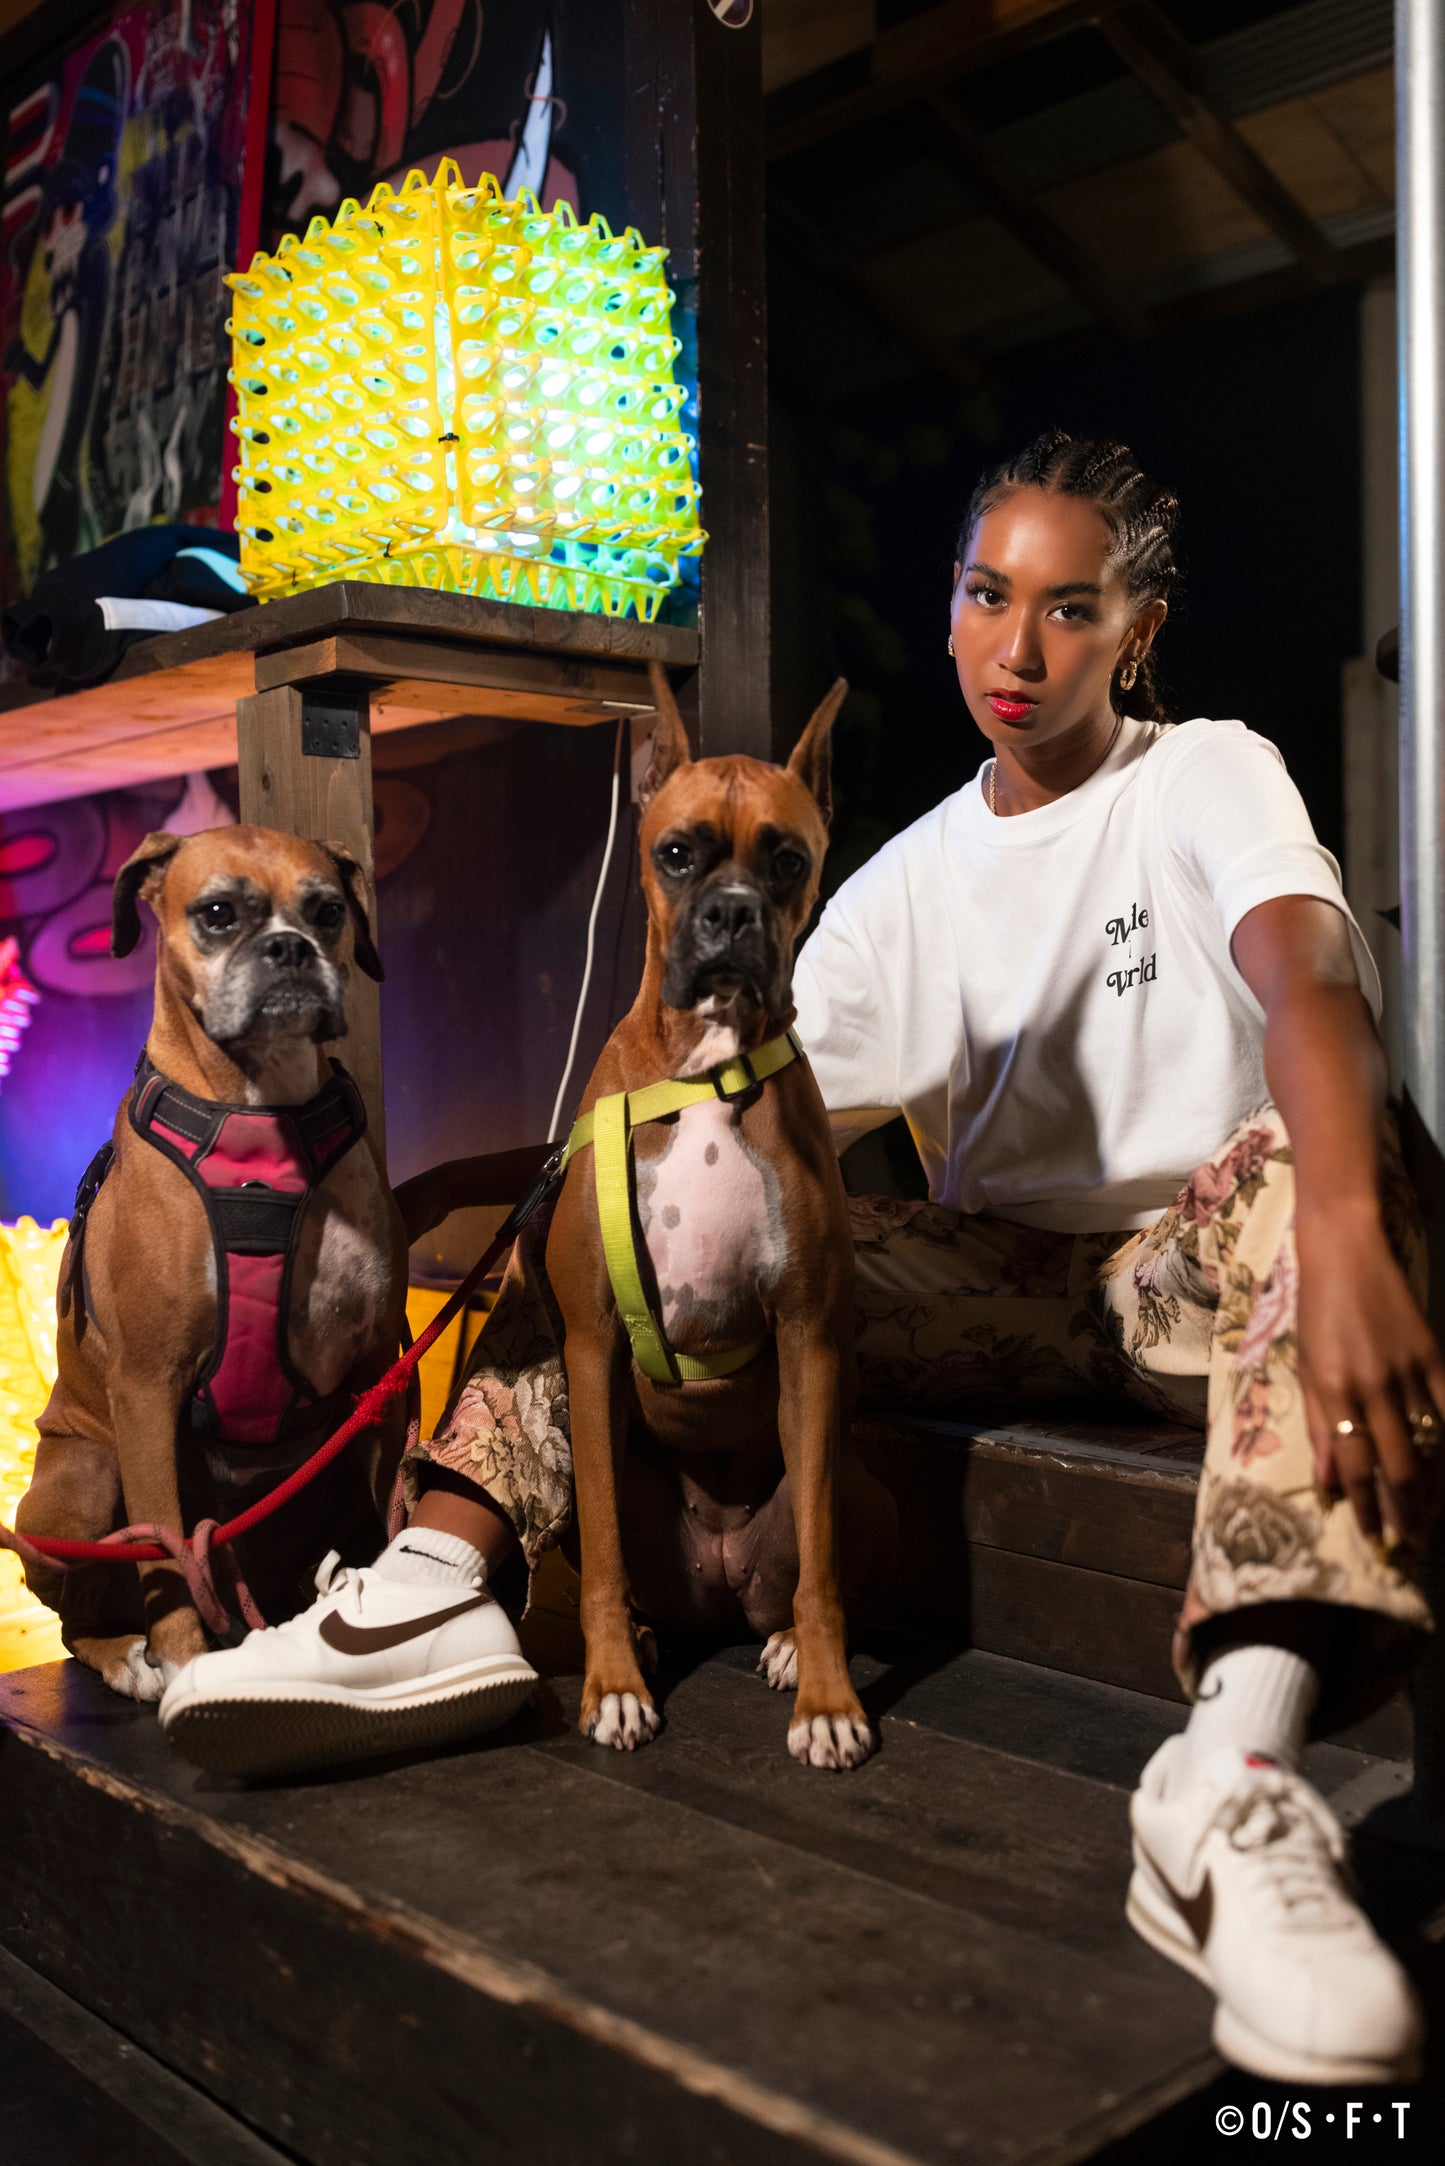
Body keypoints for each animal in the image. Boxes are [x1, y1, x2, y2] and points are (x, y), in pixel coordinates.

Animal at [16, 825, 409, 1701]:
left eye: (328, 911)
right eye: (220, 913)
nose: (290, 948)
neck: (263, 1116)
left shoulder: (379, 1373)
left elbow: (392, 1503)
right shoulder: (146, 1387)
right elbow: (164, 1546)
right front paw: (183, 1659)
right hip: (85, 1480)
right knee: (77, 1618)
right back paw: (125, 1654)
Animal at [546, 668, 897, 1770]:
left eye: (787, 859)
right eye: (675, 852)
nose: (735, 915)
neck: (706, 1068)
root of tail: (721, 1575)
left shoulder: (808, 1339)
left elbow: (821, 1573)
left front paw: (827, 1700)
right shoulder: (589, 1345)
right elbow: (605, 1561)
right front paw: (613, 1685)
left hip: (845, 1475)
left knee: (808, 1570)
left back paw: (783, 1643)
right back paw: (646, 1636)